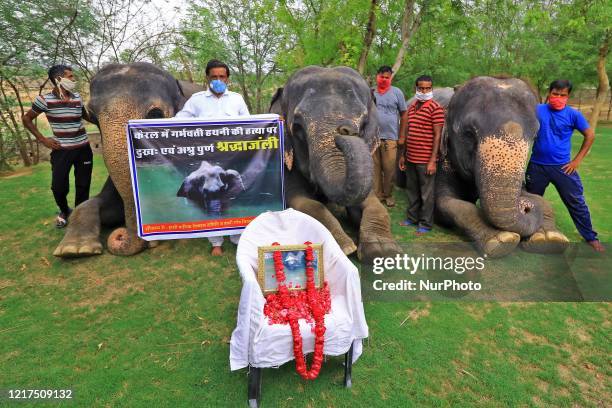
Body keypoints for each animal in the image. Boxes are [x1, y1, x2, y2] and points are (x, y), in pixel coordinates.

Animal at [270, 65, 400, 260]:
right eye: (298, 127)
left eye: (364, 123)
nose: (346, 130)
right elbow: (303, 202)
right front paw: (344, 247)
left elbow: (373, 202)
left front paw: (383, 251)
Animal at [436, 75, 568, 256]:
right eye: (469, 134)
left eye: (535, 136)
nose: (525, 207)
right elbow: (444, 203)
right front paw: (501, 241)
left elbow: (541, 200)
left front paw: (549, 240)